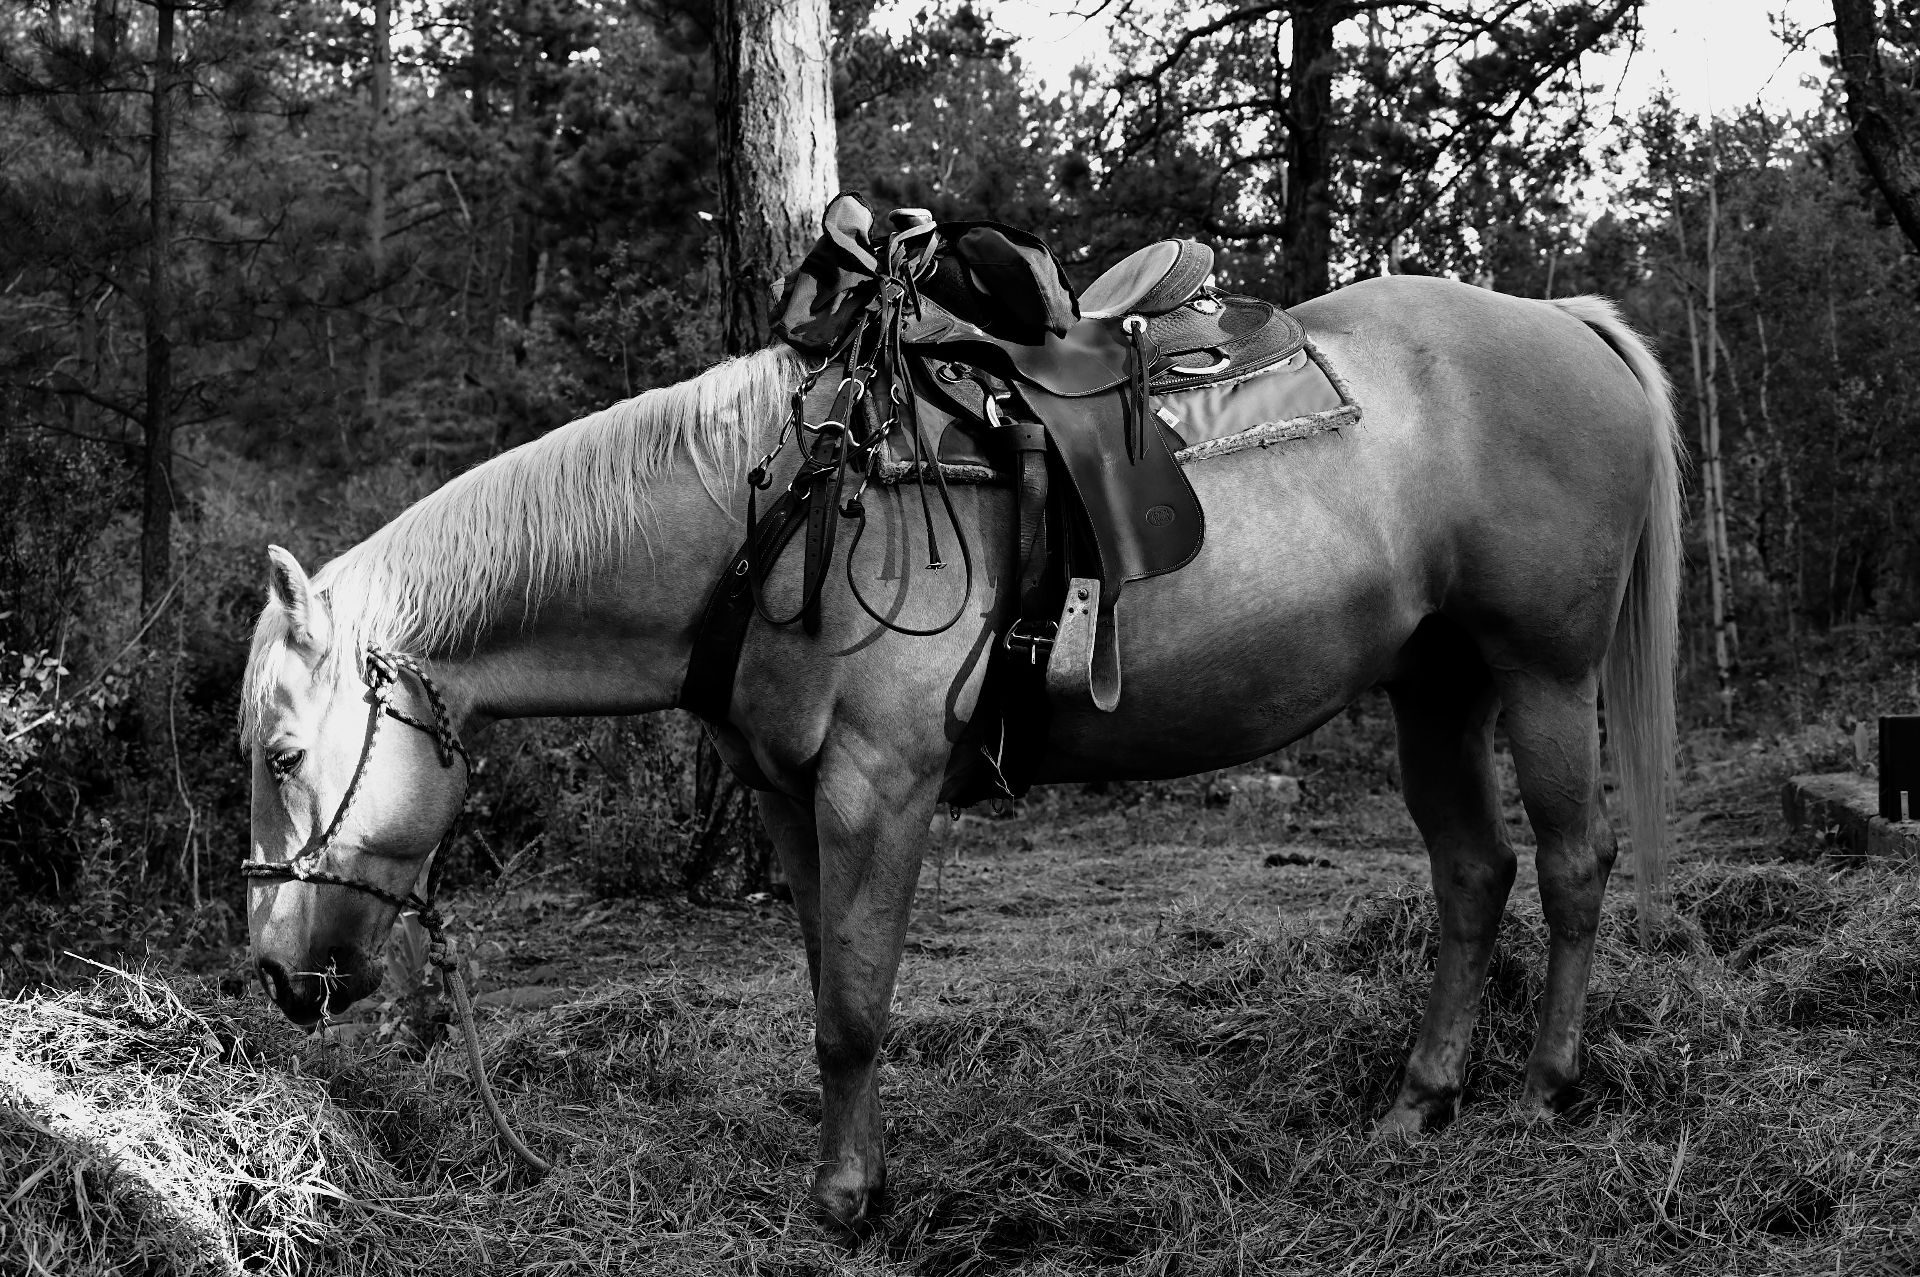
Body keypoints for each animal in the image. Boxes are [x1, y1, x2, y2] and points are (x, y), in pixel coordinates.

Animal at [241, 275, 1679, 1229]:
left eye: (283, 752)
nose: (279, 975)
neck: (780, 505)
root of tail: (1564, 319)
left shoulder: (880, 791)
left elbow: (854, 1008)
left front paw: (843, 1202)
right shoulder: (791, 801)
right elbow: (828, 990)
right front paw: (853, 1178)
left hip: (1543, 674)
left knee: (1574, 863)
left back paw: (1544, 1085)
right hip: (1438, 685)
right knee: (1475, 873)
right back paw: (1422, 1099)